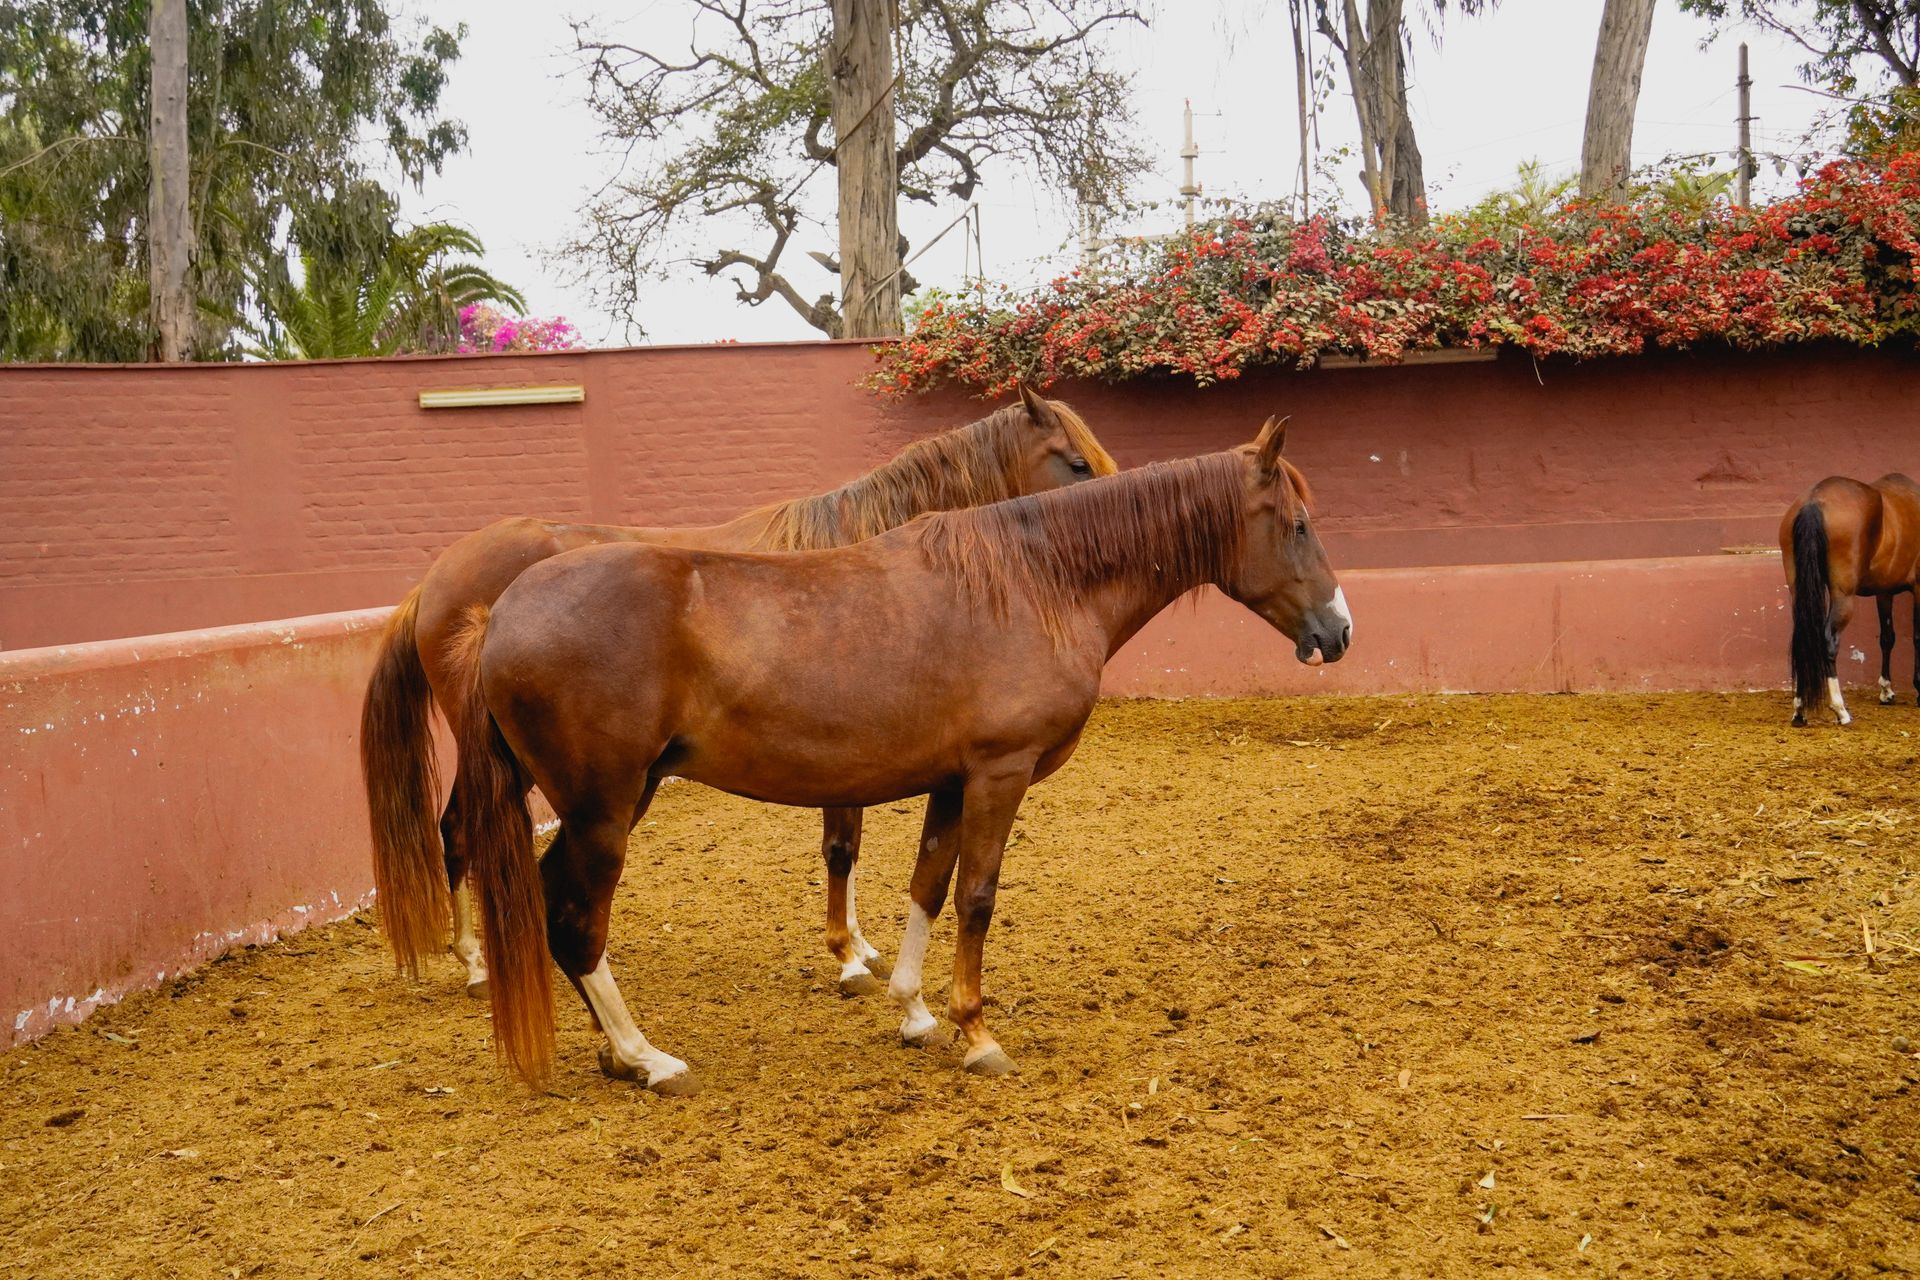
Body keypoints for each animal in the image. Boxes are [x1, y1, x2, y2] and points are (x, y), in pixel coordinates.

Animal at [361, 387, 1116, 1000]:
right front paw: (846, 958)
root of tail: (438, 580)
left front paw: (859, 945)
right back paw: (475, 963)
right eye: (1074, 462)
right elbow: (841, 846)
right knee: (460, 833)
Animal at [440, 415, 1351, 1092]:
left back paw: (610, 1048)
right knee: (574, 919)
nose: (1337, 632)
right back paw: (646, 1056)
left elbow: (929, 886)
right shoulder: (999, 774)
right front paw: (976, 1032)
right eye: (1298, 525)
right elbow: (978, 897)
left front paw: (914, 1011)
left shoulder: (952, 781)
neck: (1033, 580)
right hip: (604, 806)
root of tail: (499, 613)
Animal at [1782, 473, 1920, 726]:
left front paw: (1886, 690)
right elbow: (1917, 637)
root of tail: (1814, 501)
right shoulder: (1919, 587)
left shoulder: (1884, 592)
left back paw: (1800, 709)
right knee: (1828, 640)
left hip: (1799, 592)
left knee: (1803, 637)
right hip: (1842, 596)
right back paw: (1840, 709)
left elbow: (1887, 637)